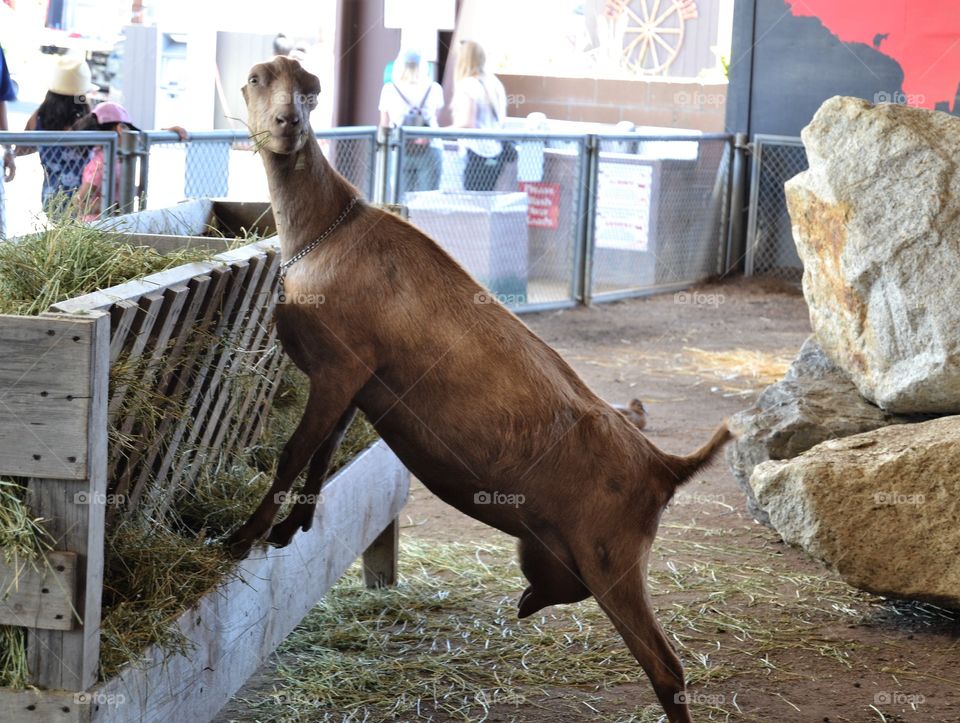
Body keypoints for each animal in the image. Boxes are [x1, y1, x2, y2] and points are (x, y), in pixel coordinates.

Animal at [231, 58, 728, 723]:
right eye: (257, 79)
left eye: (310, 91)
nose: (288, 124)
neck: (325, 231)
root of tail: (665, 465)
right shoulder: (351, 380)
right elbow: (322, 452)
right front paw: (291, 528)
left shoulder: (339, 367)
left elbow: (292, 454)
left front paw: (244, 535)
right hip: (556, 546)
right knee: (567, 588)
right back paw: (527, 600)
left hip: (612, 556)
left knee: (665, 666)